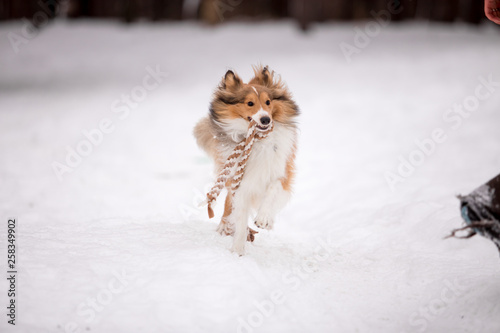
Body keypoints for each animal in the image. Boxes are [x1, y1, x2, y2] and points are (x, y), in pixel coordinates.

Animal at [193, 65, 298, 254]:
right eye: (250, 103)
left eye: (268, 102)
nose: (266, 119)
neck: (257, 141)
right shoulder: (240, 182)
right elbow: (240, 218)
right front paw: (237, 250)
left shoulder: (282, 171)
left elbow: (274, 188)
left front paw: (263, 219)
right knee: (229, 202)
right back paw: (224, 226)